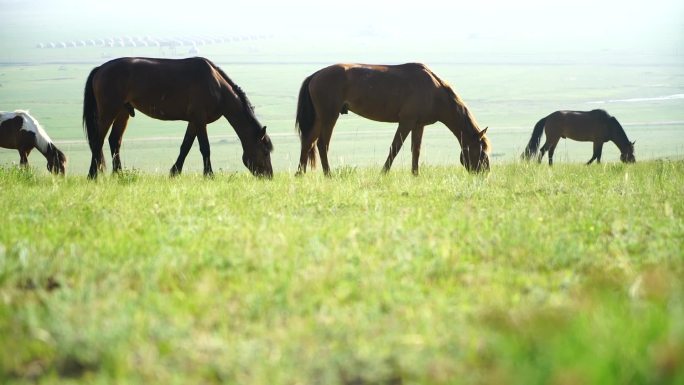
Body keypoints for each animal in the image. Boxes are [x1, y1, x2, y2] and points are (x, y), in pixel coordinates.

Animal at [81, 56, 272, 178]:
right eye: (265, 152)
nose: (269, 176)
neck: (216, 86)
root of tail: (100, 69)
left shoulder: (194, 121)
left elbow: (185, 146)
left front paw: (174, 172)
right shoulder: (200, 120)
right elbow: (205, 148)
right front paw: (209, 175)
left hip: (122, 112)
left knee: (115, 140)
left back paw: (119, 174)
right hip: (108, 111)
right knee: (98, 141)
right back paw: (92, 175)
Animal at [294, 63, 492, 176]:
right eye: (481, 151)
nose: (485, 173)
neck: (435, 91)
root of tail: (315, 75)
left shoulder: (418, 125)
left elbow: (416, 151)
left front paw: (415, 174)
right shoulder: (406, 122)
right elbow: (395, 148)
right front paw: (384, 173)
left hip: (319, 118)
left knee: (308, 142)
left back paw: (300, 173)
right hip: (329, 116)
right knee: (321, 144)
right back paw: (328, 174)